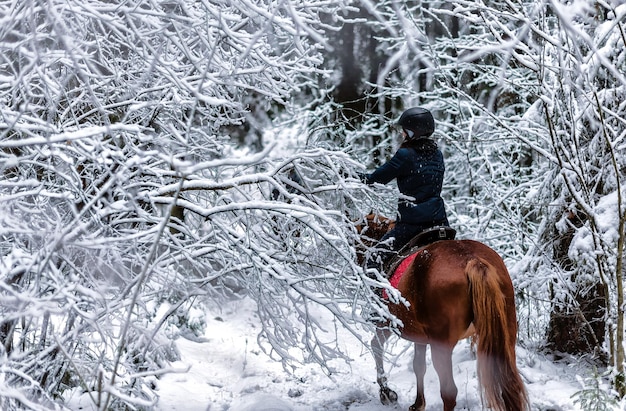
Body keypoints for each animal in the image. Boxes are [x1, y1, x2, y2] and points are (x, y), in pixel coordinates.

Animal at [356, 216, 528, 411]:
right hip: (506, 336)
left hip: (441, 344)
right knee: (509, 384)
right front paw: (418, 404)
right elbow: (418, 365)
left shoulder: (388, 323)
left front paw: (387, 392)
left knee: (449, 393)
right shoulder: (419, 336)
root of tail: (473, 260)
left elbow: (376, 346)